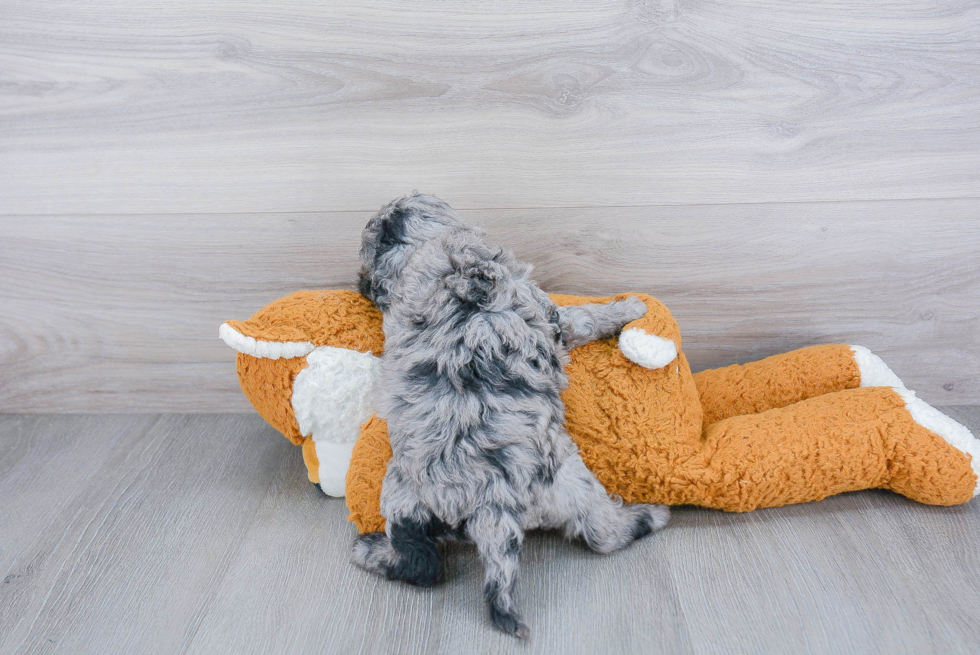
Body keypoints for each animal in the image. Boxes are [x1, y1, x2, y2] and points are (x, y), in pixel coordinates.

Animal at [348, 192, 668, 640]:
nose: (359, 286)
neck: (421, 254)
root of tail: (487, 507)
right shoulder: (551, 314)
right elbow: (587, 316)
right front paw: (628, 306)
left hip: (400, 497)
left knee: (421, 564)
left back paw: (370, 551)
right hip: (570, 483)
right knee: (602, 534)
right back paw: (649, 516)